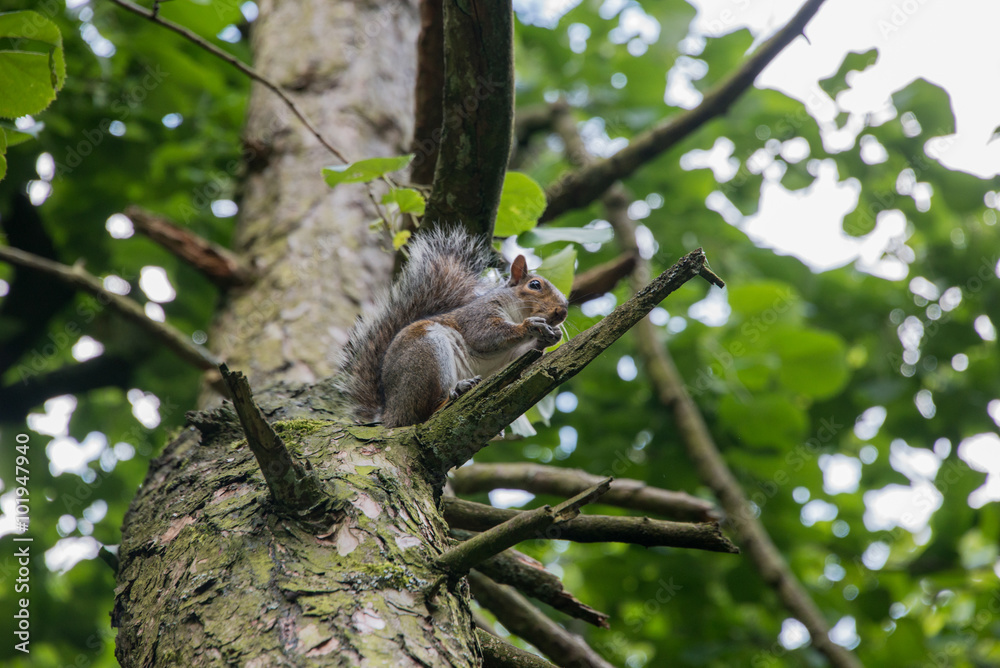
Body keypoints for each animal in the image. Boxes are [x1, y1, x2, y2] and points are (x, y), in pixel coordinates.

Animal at [338, 226, 569, 427]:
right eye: (535, 285)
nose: (563, 311)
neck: (516, 312)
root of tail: (390, 413)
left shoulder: (510, 358)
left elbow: (518, 358)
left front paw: (550, 337)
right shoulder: (477, 316)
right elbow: (487, 336)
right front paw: (530, 326)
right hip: (427, 353)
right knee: (425, 411)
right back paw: (455, 392)